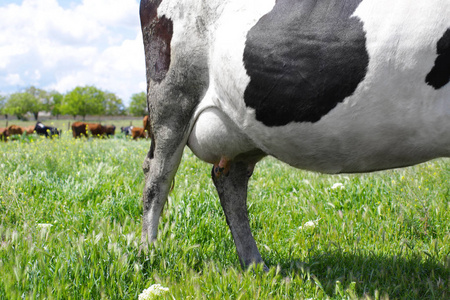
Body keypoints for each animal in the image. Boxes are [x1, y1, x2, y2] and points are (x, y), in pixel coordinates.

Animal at [140, 0, 450, 268]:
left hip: (242, 131)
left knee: (228, 180)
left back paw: (255, 266)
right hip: (171, 100)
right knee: (157, 178)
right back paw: (148, 255)